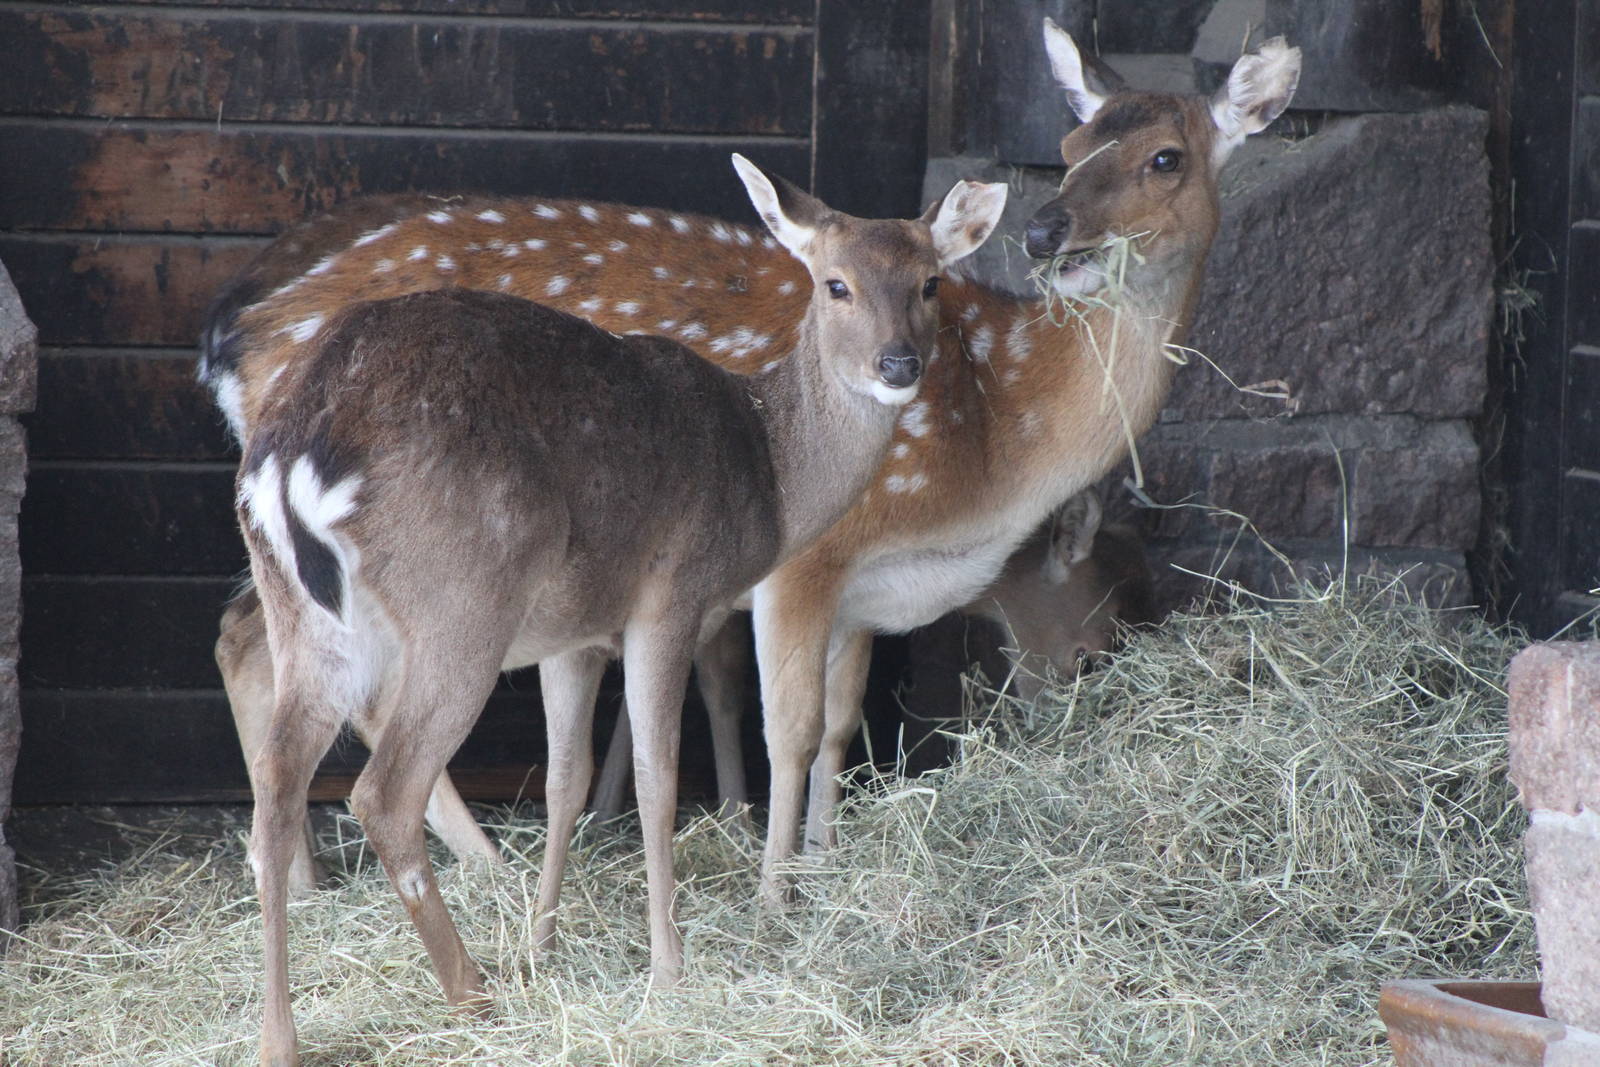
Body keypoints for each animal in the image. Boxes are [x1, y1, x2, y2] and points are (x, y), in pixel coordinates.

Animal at [201, 22, 1300, 907]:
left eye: (1165, 156)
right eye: (1067, 152)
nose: (1044, 230)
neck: (994, 444)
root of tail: (244, 330)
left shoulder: (867, 586)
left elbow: (841, 724)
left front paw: (824, 862)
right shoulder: (809, 557)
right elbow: (792, 726)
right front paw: (775, 897)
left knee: (253, 642)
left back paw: (304, 877)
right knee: (326, 675)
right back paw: (475, 871)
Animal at [233, 154, 1007, 1064]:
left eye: (930, 281)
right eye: (835, 283)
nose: (898, 364)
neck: (769, 475)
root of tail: (292, 456)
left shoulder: (571, 633)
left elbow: (565, 778)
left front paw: (542, 941)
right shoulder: (670, 594)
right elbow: (656, 780)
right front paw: (668, 966)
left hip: (309, 616)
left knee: (276, 782)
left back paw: (279, 1036)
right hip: (462, 605)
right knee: (383, 791)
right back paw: (472, 992)